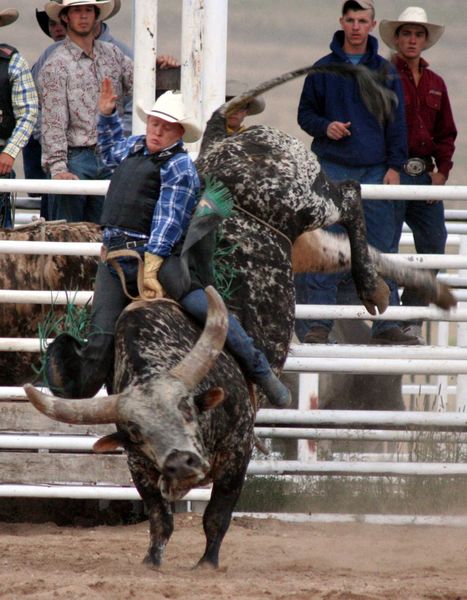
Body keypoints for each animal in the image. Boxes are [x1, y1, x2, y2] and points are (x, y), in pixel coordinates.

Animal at [20, 65, 456, 568]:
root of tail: (218, 142)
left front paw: (207, 563)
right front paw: (152, 561)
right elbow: (159, 518)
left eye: (187, 407)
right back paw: (425, 291)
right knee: (345, 244)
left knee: (349, 195)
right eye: (136, 430)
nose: (181, 464)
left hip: (305, 197)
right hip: (304, 242)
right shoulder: (140, 468)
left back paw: (370, 288)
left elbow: (216, 516)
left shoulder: (240, 447)